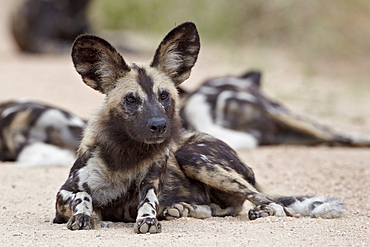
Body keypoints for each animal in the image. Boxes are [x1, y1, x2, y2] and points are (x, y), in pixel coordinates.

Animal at [51, 21, 344, 233]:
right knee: (224, 208)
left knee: (271, 202)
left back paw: (259, 211)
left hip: (194, 158)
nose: (159, 126)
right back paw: (184, 209)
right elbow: (84, 197)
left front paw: (148, 220)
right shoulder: (64, 193)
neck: (126, 155)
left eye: (164, 96)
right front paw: (85, 216)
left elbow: (147, 204)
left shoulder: (149, 187)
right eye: (131, 99)